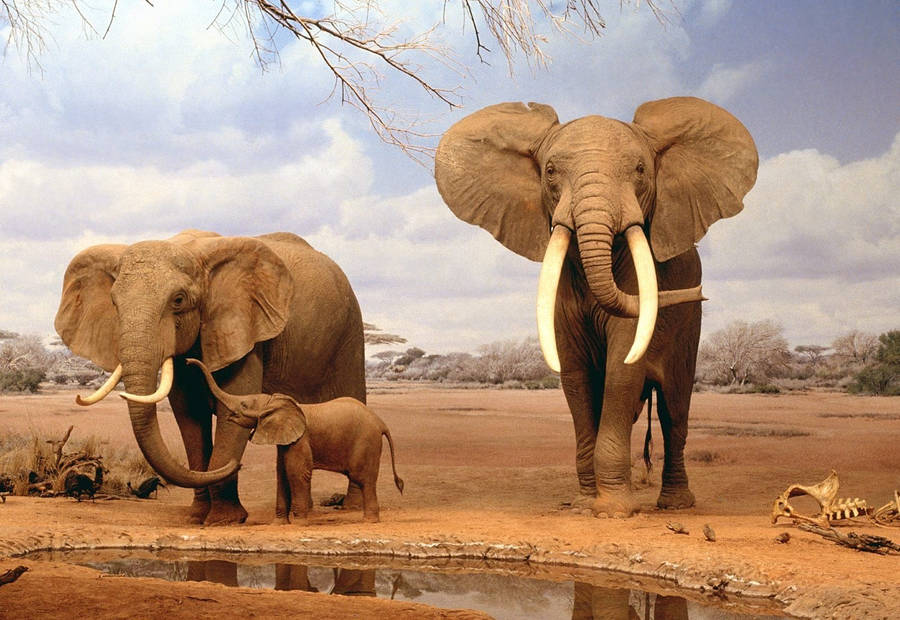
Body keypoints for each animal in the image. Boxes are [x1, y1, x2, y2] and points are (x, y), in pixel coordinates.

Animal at [54, 230, 366, 525]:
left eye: (178, 300)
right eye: (114, 303)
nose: (237, 464)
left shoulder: (243, 330)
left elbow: (231, 409)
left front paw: (223, 520)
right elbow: (189, 416)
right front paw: (197, 517)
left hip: (350, 332)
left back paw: (352, 508)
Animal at [188, 358, 404, 523]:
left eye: (244, 404)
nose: (188, 361)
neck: (275, 402)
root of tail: (380, 422)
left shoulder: (301, 439)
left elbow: (297, 473)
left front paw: (299, 523)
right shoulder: (285, 440)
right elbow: (282, 473)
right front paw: (279, 523)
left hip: (366, 442)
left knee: (364, 479)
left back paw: (369, 521)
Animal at [435, 97, 757, 517]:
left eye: (640, 170)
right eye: (551, 171)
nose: (700, 292)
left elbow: (623, 369)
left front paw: (613, 511)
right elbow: (575, 376)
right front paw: (584, 504)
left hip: (690, 327)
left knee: (674, 410)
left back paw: (675, 505)